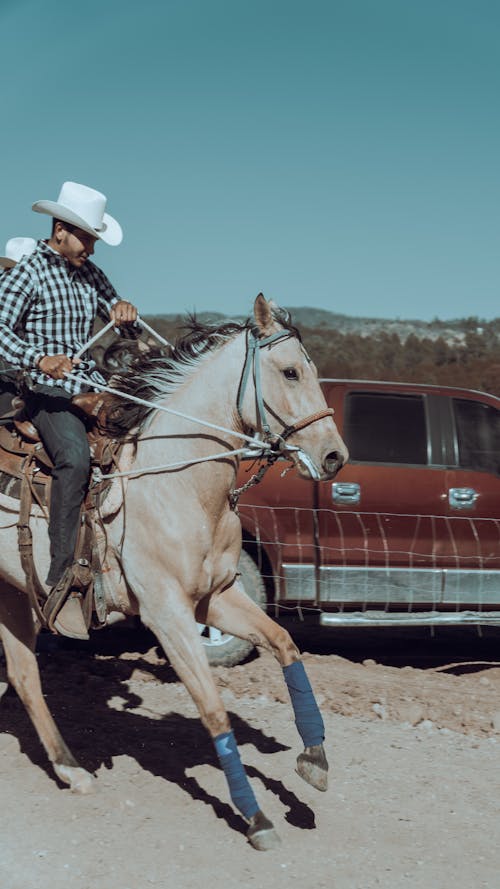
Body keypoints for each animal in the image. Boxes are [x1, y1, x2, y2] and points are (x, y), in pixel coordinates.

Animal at [0, 294, 348, 848]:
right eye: (291, 371)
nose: (334, 455)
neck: (178, 481)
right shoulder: (167, 615)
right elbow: (213, 710)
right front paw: (255, 817)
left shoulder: (217, 597)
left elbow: (284, 644)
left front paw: (314, 759)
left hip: (12, 592)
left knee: (24, 675)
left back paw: (72, 769)